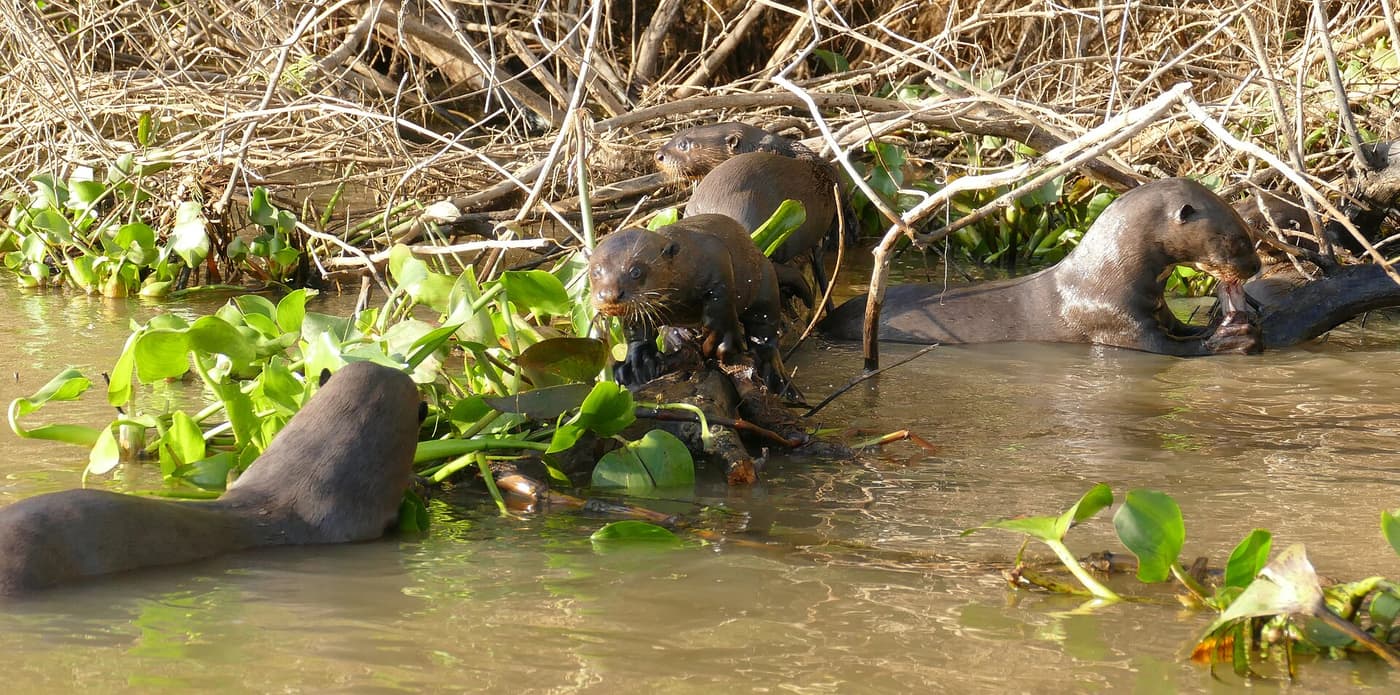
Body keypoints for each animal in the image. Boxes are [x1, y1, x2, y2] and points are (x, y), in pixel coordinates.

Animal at [589, 214, 796, 397]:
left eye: (636, 271)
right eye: (596, 271)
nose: (609, 295)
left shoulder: (717, 258)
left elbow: (720, 310)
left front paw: (720, 343)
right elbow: (638, 333)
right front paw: (638, 363)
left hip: (766, 284)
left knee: (764, 330)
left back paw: (776, 375)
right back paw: (679, 336)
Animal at [821, 178, 1263, 356]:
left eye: (1252, 232)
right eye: (1238, 240)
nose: (1256, 267)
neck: (1103, 277)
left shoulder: (1158, 309)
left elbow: (1181, 329)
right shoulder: (1115, 322)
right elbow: (1175, 349)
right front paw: (1231, 337)